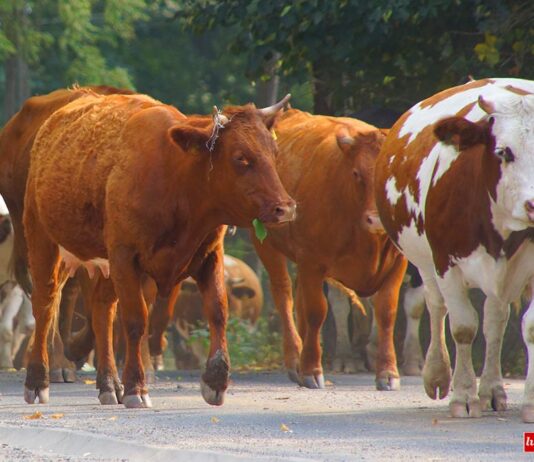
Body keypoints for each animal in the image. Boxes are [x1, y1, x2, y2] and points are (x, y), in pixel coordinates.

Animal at [19, 89, 295, 409]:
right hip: (43, 239)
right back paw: (38, 381)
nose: (285, 208)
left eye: (273, 153)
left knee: (101, 310)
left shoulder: (208, 256)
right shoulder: (126, 256)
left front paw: (216, 381)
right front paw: (136, 387)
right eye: (241, 158)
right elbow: (135, 320)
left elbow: (217, 311)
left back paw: (109, 384)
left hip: (104, 261)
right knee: (45, 303)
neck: (177, 179)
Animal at [253, 108, 407, 390]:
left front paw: (388, 373)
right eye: (356, 174)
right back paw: (296, 360)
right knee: (284, 294)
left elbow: (386, 313)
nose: (376, 220)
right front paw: (312, 370)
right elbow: (317, 312)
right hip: (267, 245)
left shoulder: (398, 263)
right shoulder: (313, 261)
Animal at [375, 78, 534, 422]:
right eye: (503, 151)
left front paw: (529, 402)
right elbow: (462, 326)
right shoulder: (446, 262)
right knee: (435, 306)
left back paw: (492, 389)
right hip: (424, 263)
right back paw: (437, 374)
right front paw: (462, 396)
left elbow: (527, 326)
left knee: (495, 320)